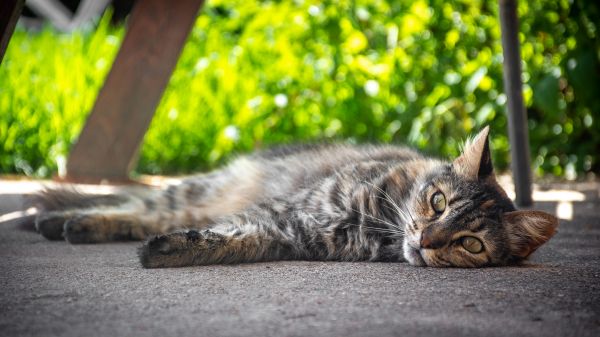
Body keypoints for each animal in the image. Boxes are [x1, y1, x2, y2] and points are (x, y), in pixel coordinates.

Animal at [31, 126, 556, 268]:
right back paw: (58, 221)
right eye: (439, 202)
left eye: (471, 244)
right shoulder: (293, 208)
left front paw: (171, 250)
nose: (426, 241)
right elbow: (229, 231)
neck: (378, 225)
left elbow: (233, 240)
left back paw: (66, 226)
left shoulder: (287, 232)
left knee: (141, 216)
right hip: (194, 192)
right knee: (136, 205)